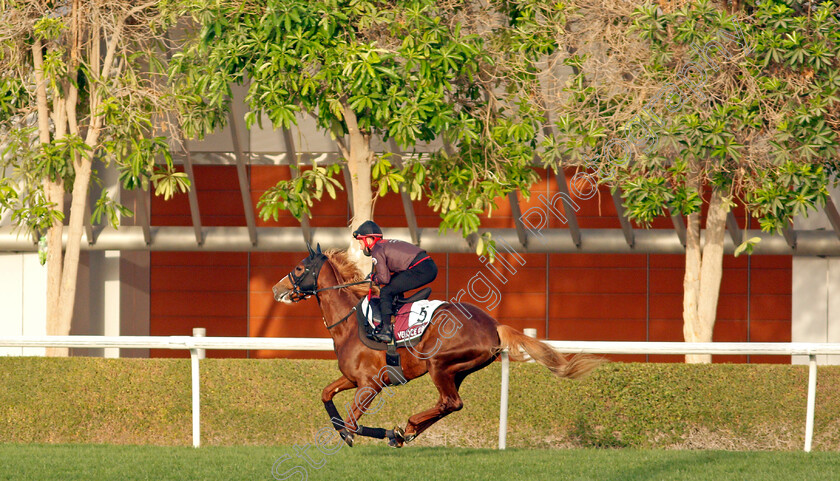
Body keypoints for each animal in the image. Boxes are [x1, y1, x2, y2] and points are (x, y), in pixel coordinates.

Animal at [272, 246, 600, 448]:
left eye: (299, 268)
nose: (277, 289)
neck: (351, 321)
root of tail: (494, 325)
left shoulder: (370, 384)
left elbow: (352, 423)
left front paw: (367, 433)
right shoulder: (353, 379)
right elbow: (326, 394)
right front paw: (351, 429)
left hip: (438, 363)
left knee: (451, 402)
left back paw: (405, 428)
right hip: (457, 370)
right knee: (448, 404)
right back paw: (409, 431)